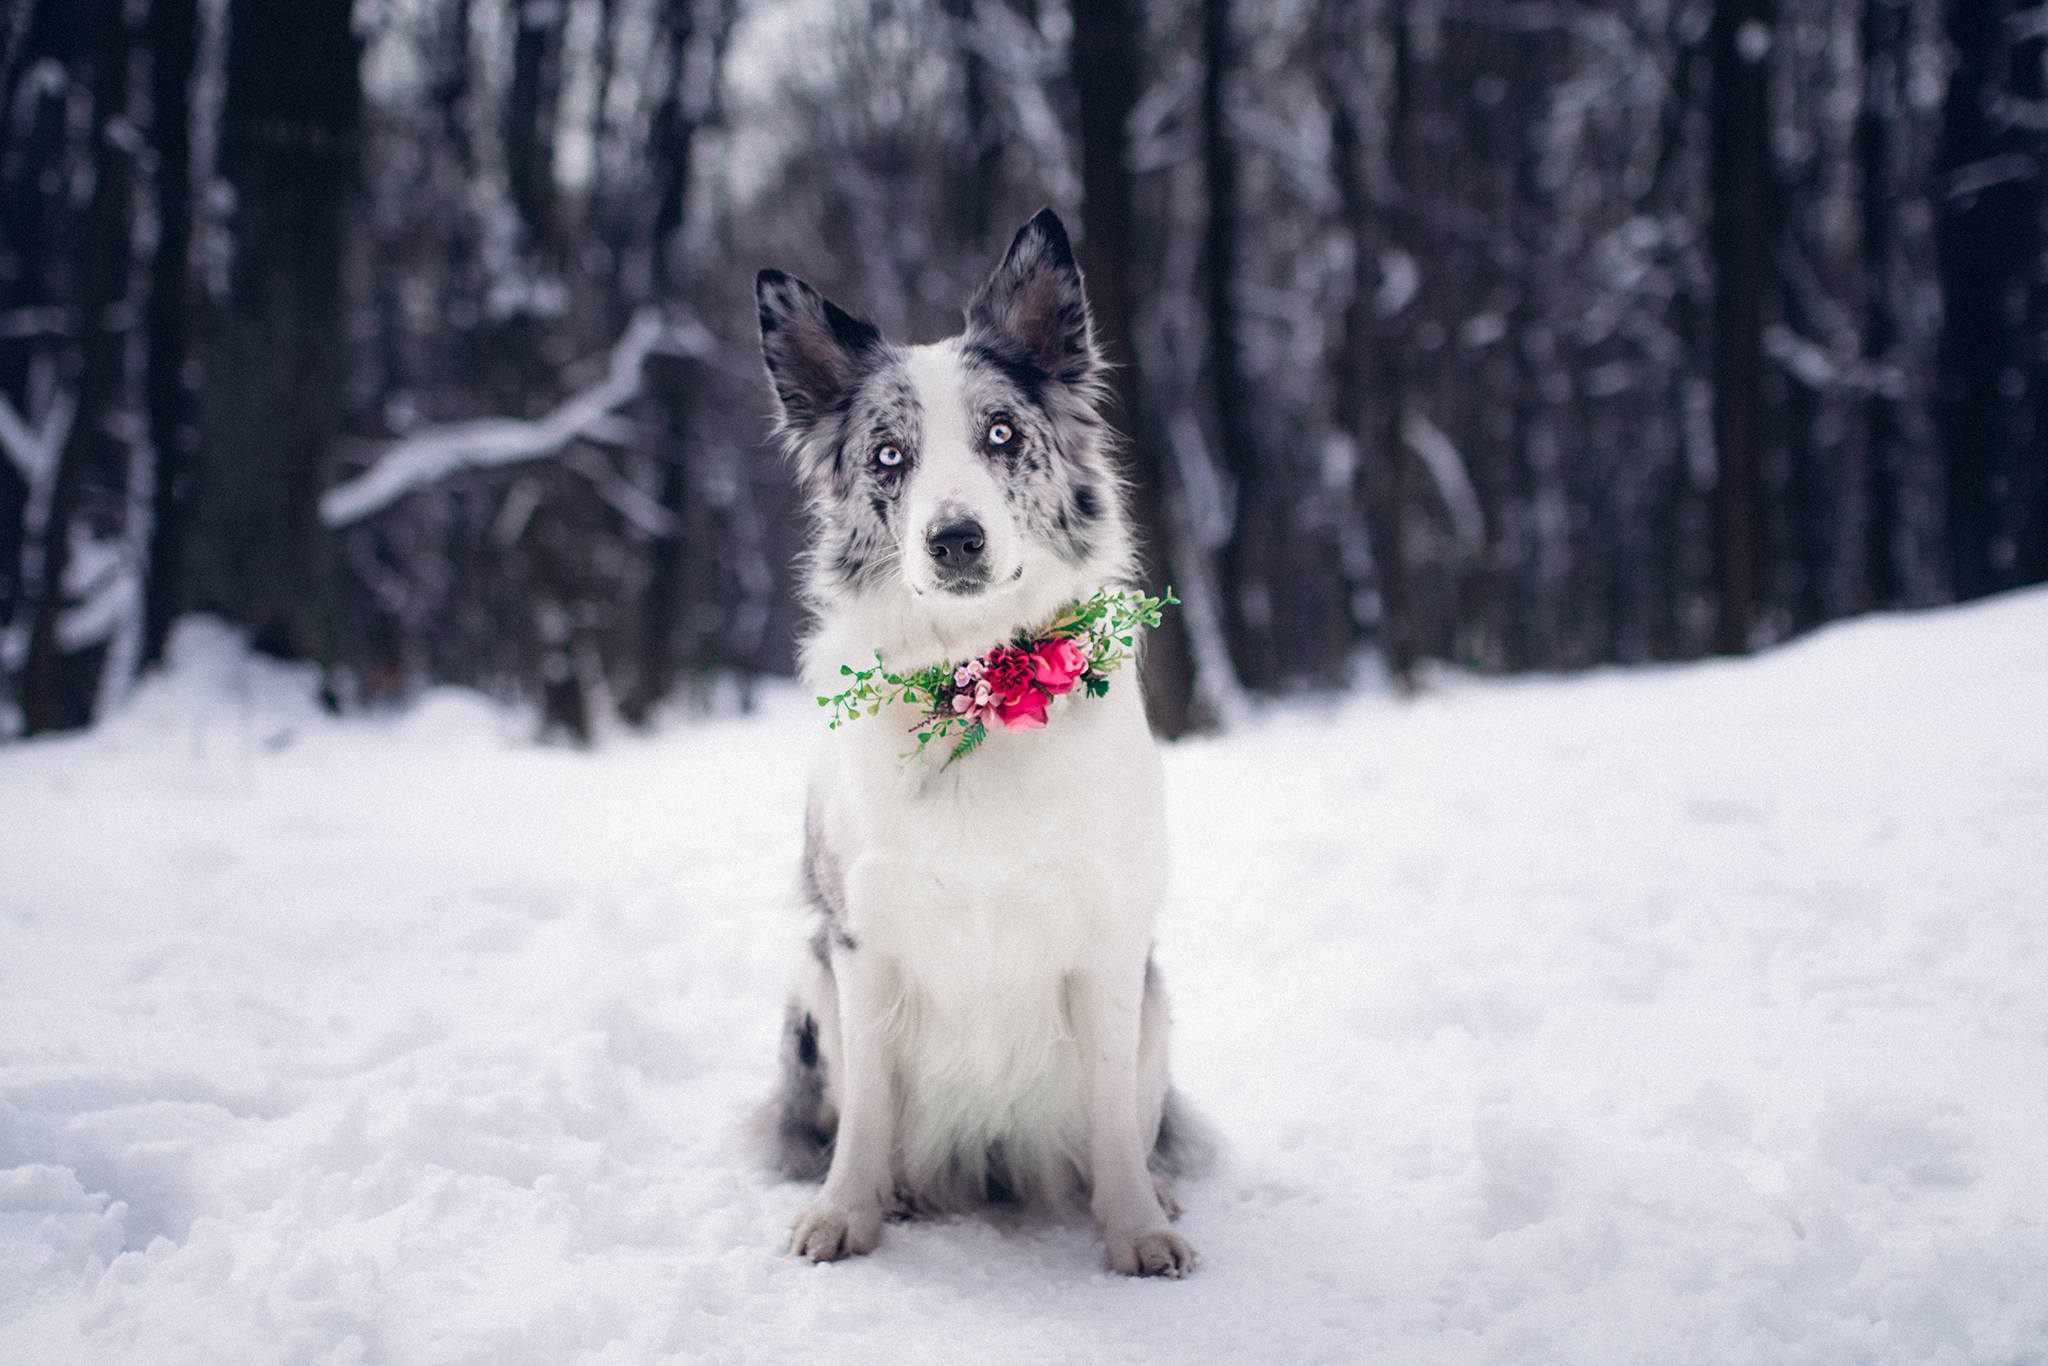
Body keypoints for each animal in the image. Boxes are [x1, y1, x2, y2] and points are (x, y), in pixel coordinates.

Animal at [757, 208, 1196, 1277]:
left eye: (1002, 435)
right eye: (887, 457)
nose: (954, 539)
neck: (976, 694)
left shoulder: (1111, 935)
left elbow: (1114, 1115)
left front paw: (1134, 1228)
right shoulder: (861, 938)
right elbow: (867, 1112)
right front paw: (847, 1213)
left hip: (1161, 996)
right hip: (806, 988)